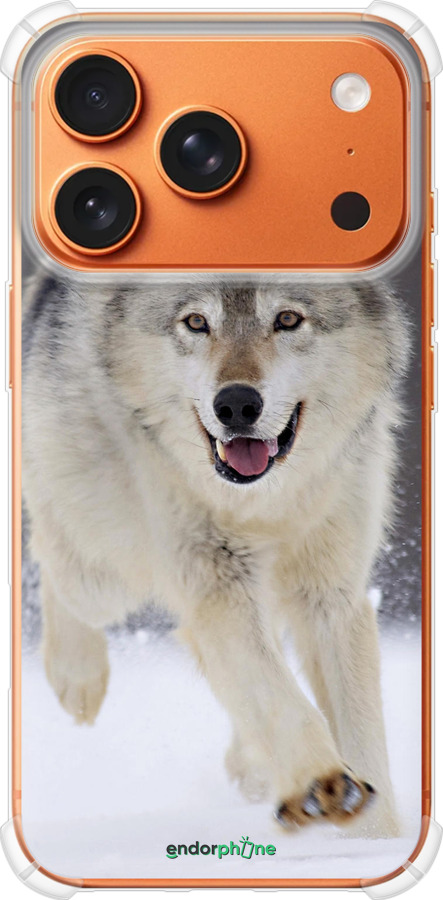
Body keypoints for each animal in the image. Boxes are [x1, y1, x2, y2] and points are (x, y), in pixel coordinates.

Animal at [22, 274, 408, 835]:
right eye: (196, 322)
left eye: (287, 319)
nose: (237, 405)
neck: (263, 503)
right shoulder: (217, 584)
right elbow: (278, 697)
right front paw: (322, 784)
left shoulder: (331, 596)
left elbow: (360, 734)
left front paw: (376, 840)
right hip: (103, 573)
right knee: (54, 558)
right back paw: (77, 679)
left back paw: (252, 766)